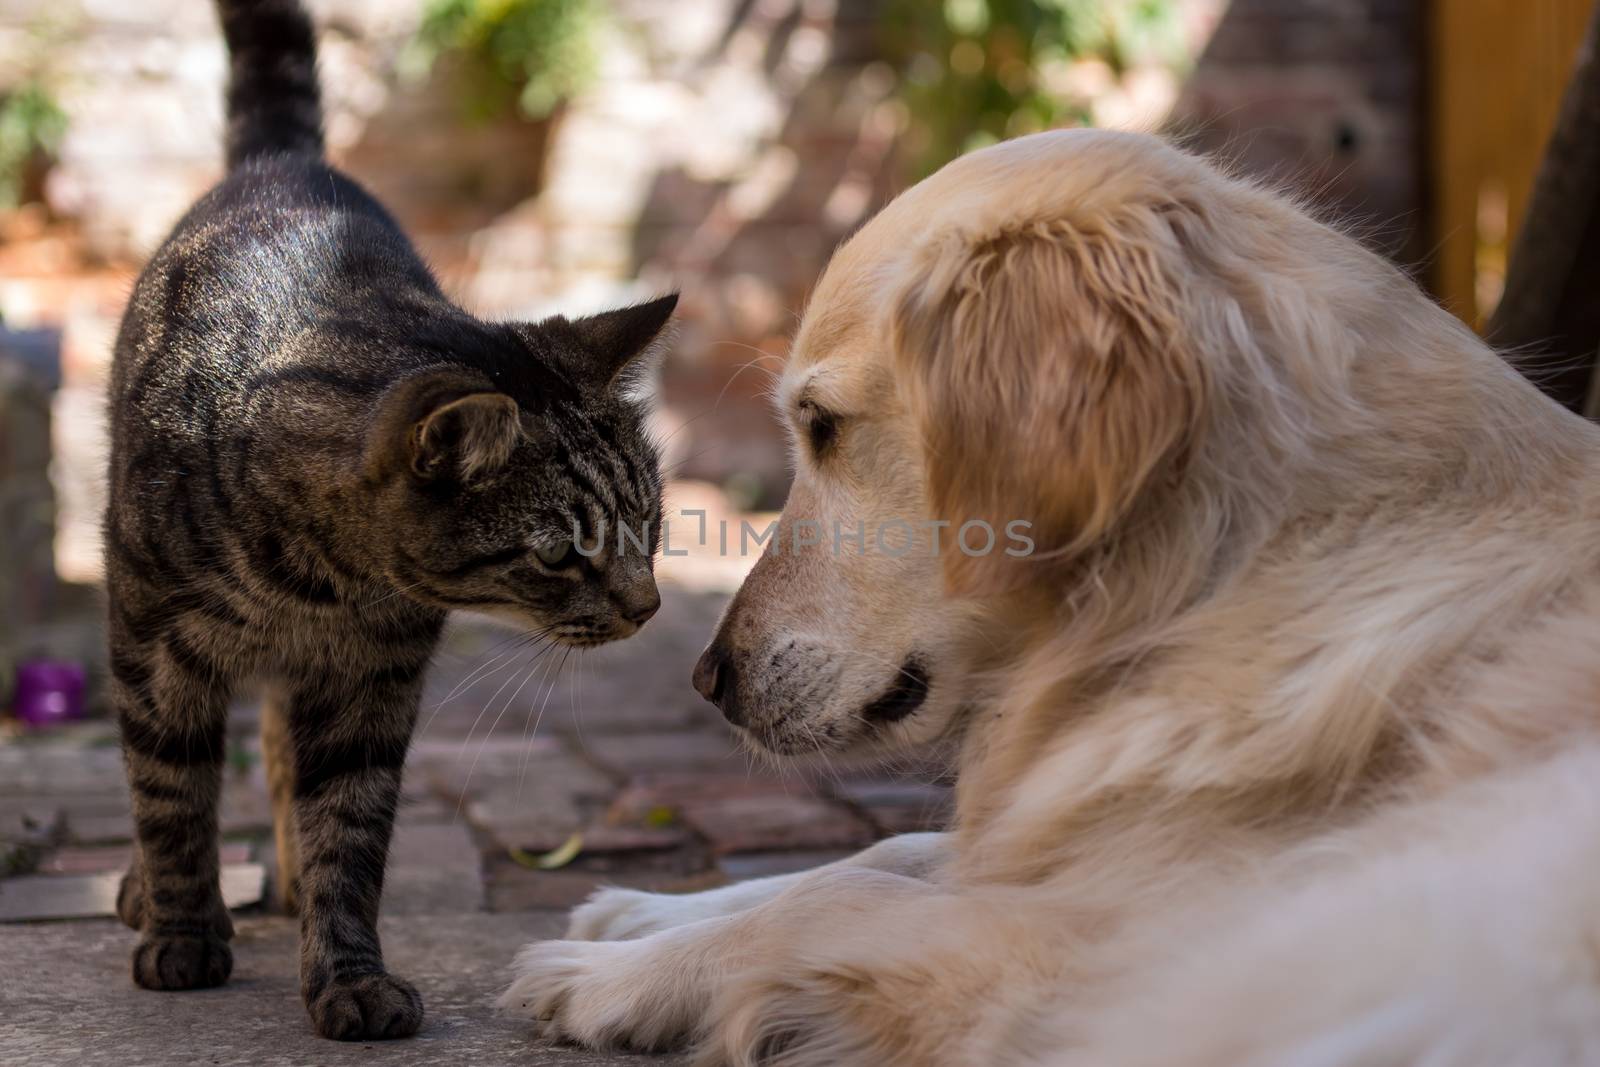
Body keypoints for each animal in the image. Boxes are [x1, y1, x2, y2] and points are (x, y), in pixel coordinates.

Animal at [106, 0, 668, 1036]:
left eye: (648, 523)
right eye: (561, 554)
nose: (647, 606)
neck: (317, 581)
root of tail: (286, 163)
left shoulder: (375, 681)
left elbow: (347, 829)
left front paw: (346, 972)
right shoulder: (152, 642)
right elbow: (169, 791)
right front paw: (183, 930)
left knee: (278, 751)